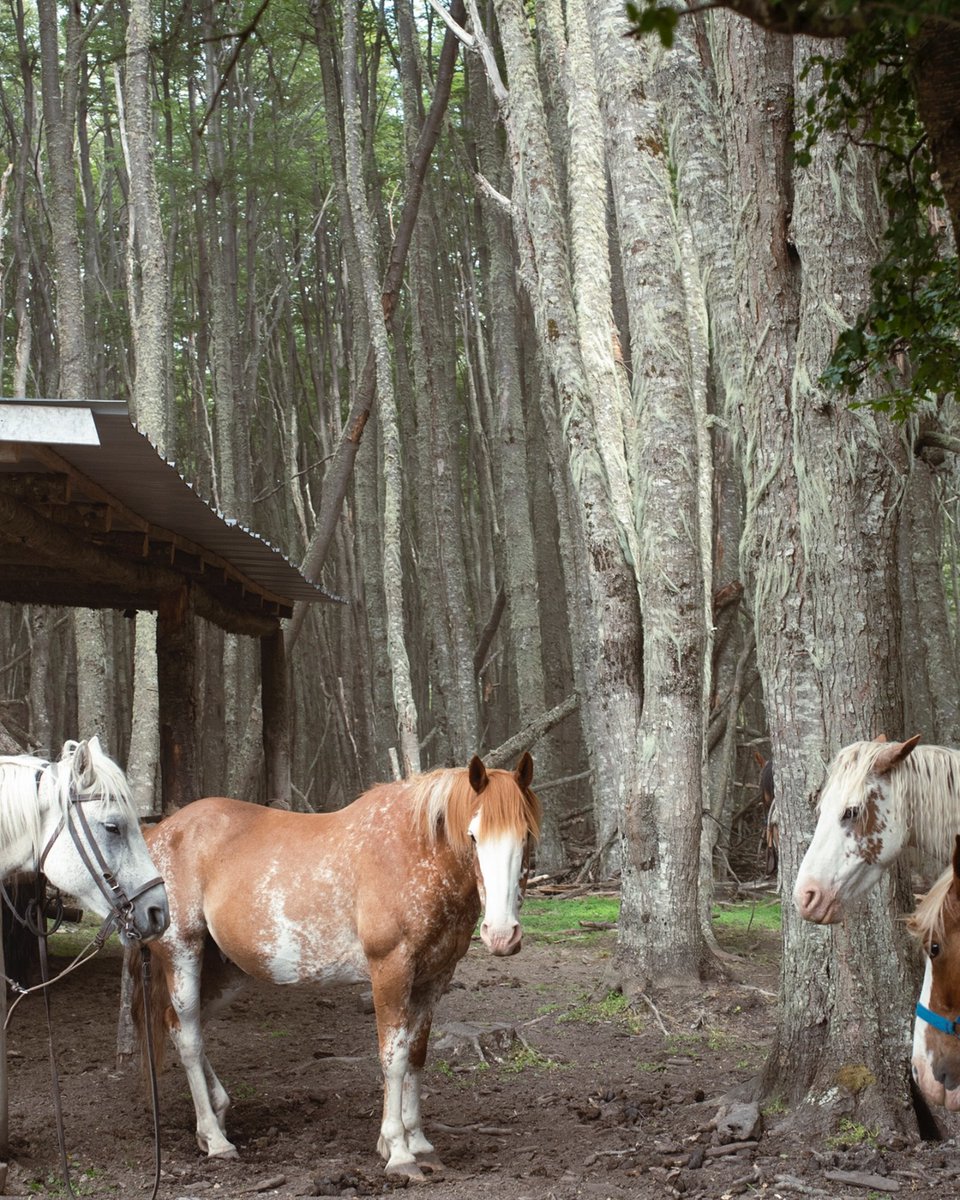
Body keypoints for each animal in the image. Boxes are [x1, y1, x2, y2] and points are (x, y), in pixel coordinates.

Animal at [131, 752, 541, 1180]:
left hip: (228, 973)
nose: (501, 934)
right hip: (183, 953)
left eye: (526, 835)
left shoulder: (434, 977)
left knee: (181, 1025)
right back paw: (215, 1139)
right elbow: (393, 1058)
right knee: (189, 1037)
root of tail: (160, 831)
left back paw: (216, 1116)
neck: (415, 853)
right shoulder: (390, 970)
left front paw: (420, 1144)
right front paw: (398, 1152)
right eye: (473, 836)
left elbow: (416, 1055)